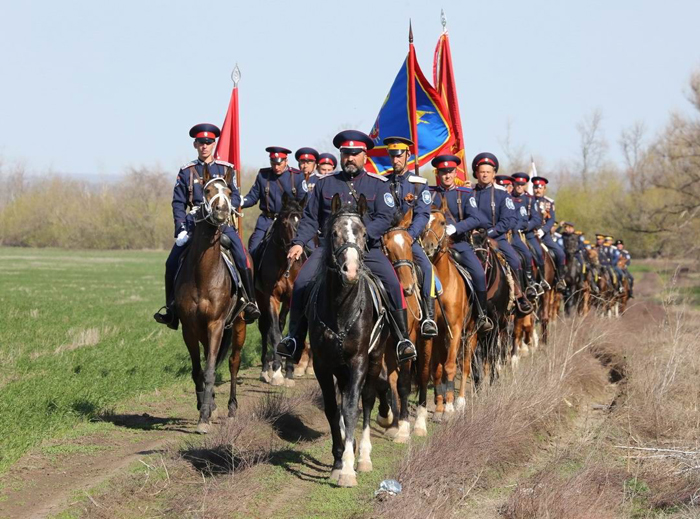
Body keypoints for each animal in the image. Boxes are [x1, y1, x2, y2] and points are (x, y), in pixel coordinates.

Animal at [174, 170, 247, 434]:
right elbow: (199, 370)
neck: (203, 274)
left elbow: (210, 370)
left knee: (233, 363)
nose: (221, 212)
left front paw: (204, 417)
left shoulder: (216, 325)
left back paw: (232, 408)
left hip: (239, 326)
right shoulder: (189, 328)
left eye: (228, 192)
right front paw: (204, 406)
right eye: (206, 190)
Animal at [253, 193, 304, 388]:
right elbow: (274, 333)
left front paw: (288, 371)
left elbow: (290, 331)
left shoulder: (291, 298)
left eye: (301, 220)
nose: (293, 249)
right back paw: (265, 369)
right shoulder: (270, 298)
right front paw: (276, 372)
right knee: (265, 328)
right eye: (283, 222)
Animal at [310, 194, 392, 488]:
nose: (352, 270)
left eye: (364, 233)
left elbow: (351, 409)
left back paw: (364, 456)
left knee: (366, 400)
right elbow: (333, 410)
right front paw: (338, 461)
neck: (341, 308)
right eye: (334, 233)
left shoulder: (358, 361)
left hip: (376, 358)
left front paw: (347, 469)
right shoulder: (322, 365)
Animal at [418, 208, 478, 426]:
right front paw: (439, 408)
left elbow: (451, 367)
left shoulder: (456, 330)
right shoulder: (436, 334)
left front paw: (450, 408)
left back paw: (460, 401)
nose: (428, 245)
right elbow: (437, 371)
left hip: (471, 334)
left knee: (466, 364)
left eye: (443, 222)